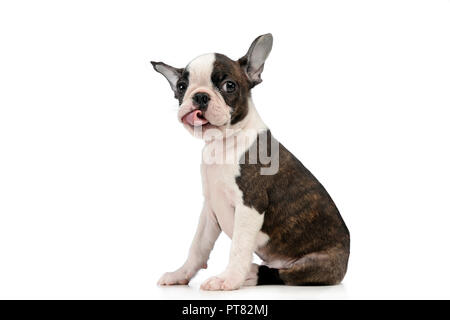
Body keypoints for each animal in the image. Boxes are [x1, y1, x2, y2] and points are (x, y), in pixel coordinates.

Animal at [150, 34, 348, 290]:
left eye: (229, 86)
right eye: (182, 86)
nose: (200, 96)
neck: (222, 144)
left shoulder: (250, 206)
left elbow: (238, 248)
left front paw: (229, 279)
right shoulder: (209, 210)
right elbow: (197, 246)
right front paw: (180, 274)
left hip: (318, 264)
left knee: (282, 274)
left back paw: (250, 274)